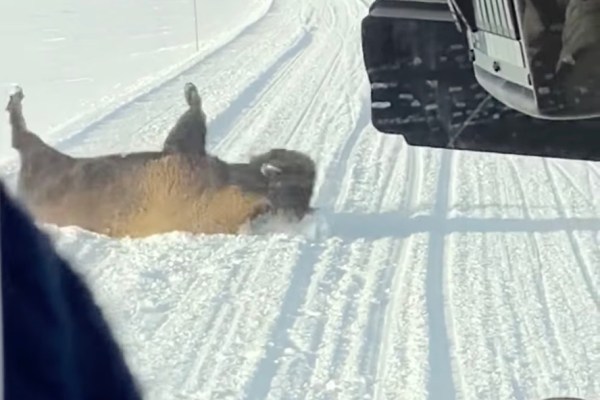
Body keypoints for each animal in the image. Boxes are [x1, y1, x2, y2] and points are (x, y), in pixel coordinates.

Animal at [7, 82, 316, 238]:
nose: (277, 162)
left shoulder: (181, 153)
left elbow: (191, 118)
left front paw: (191, 92)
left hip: (40, 158)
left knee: (21, 138)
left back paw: (15, 100)